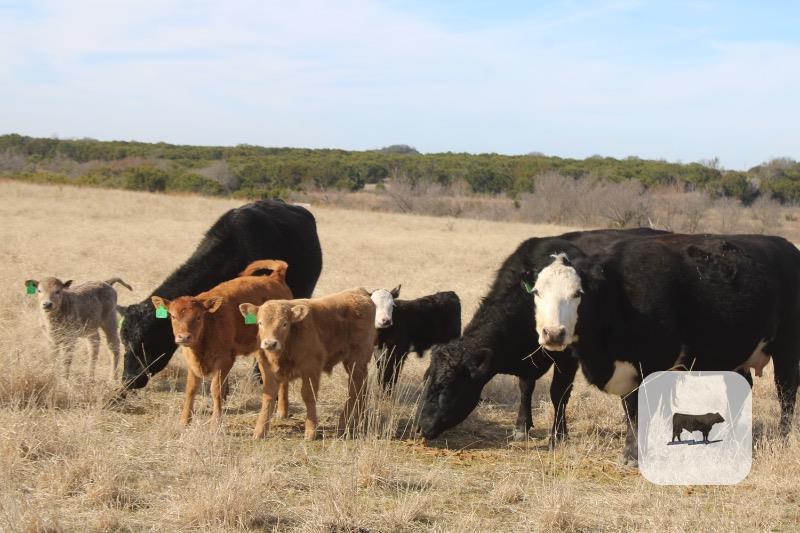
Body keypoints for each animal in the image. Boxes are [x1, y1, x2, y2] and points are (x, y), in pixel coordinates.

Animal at [150, 260, 292, 428]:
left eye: (199, 316)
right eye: (172, 316)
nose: (184, 337)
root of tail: (276, 278)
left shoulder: (224, 362)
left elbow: (216, 389)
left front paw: (216, 421)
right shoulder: (192, 363)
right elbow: (191, 388)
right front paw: (184, 420)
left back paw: (282, 412)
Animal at [239, 289, 376, 440]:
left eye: (285, 324)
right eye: (260, 323)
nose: (270, 343)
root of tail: (358, 291)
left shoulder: (311, 368)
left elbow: (308, 396)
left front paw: (311, 431)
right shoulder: (267, 369)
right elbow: (268, 396)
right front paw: (260, 431)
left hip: (357, 359)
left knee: (355, 387)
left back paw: (344, 423)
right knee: (361, 386)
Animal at [417, 228, 668, 444]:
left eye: (445, 385)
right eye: (427, 380)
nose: (420, 427)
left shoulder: (566, 358)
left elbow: (558, 393)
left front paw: (558, 435)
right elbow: (525, 387)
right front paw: (521, 427)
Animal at [520, 233, 800, 465]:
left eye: (578, 293)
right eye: (537, 292)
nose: (553, 333)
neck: (618, 293)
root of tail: (785, 246)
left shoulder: (652, 366)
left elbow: (640, 411)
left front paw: (634, 455)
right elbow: (631, 411)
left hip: (786, 347)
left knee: (786, 392)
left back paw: (782, 436)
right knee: (740, 390)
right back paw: (729, 436)